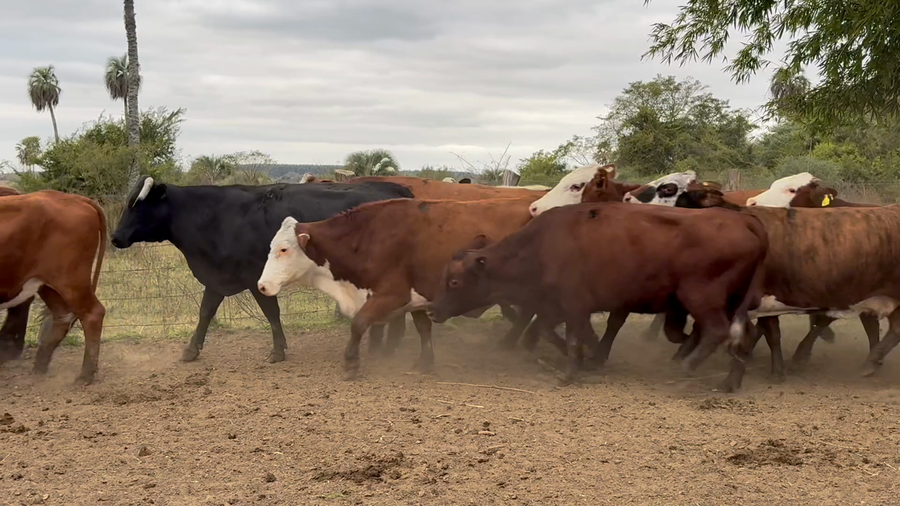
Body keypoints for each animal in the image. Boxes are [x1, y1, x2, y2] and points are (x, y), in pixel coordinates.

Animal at [0, 190, 107, 383]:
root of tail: (74, 198)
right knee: (62, 317)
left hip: (71, 281)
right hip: (47, 285)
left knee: (93, 314)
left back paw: (85, 375)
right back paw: (39, 368)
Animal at [110, 176, 417, 364]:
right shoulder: (218, 278)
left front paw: (278, 350)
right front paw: (191, 349)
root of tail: (398, 190)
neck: (214, 215)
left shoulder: (254, 276)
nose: (115, 237)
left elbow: (271, 312)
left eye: (138, 207)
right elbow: (206, 312)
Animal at [257, 195, 547, 378]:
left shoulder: (391, 295)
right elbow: (423, 328)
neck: (367, 237)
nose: (262, 285)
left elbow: (359, 323)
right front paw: (425, 362)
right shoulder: (417, 298)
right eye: (271, 246)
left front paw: (351, 363)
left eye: (284, 249)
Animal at [429, 201, 768, 386]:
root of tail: (744, 220)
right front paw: (588, 357)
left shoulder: (573, 304)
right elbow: (555, 331)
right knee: (744, 334)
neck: (540, 247)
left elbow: (573, 335)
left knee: (717, 331)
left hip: (702, 297)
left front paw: (570, 370)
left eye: (454, 282)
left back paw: (688, 366)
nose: (432, 309)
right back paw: (730, 381)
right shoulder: (554, 306)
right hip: (735, 303)